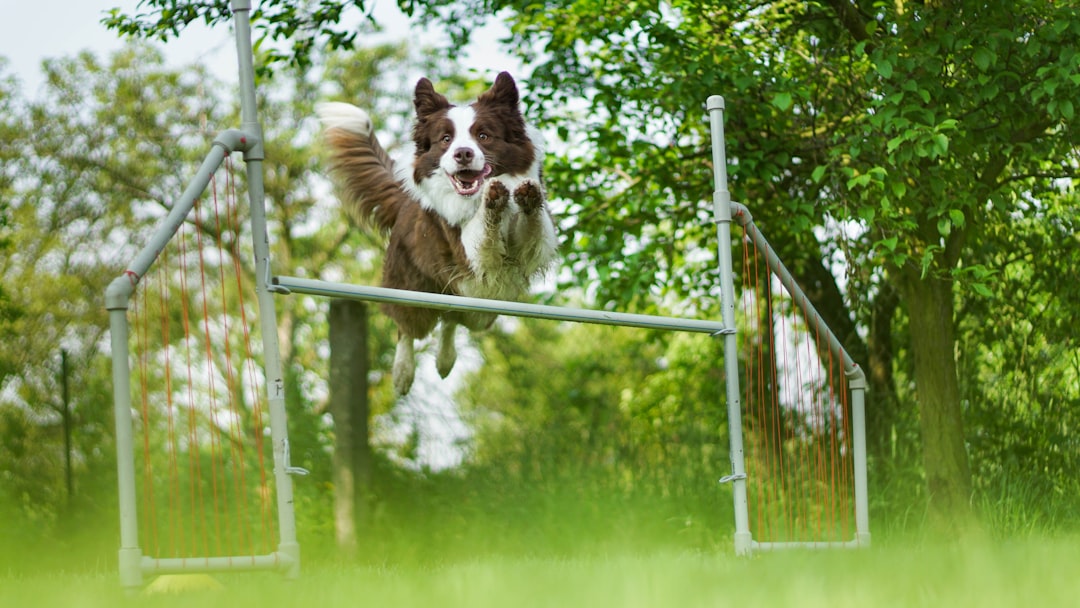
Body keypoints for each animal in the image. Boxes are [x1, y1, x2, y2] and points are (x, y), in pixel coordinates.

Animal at [315, 72, 557, 395]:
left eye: (483, 136)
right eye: (446, 139)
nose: (463, 154)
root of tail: (405, 203)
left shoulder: (527, 248)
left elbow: (534, 230)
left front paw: (527, 196)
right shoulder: (466, 250)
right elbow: (482, 232)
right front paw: (491, 199)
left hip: (481, 306)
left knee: (452, 317)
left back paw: (444, 360)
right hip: (415, 289)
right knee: (408, 327)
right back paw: (403, 373)